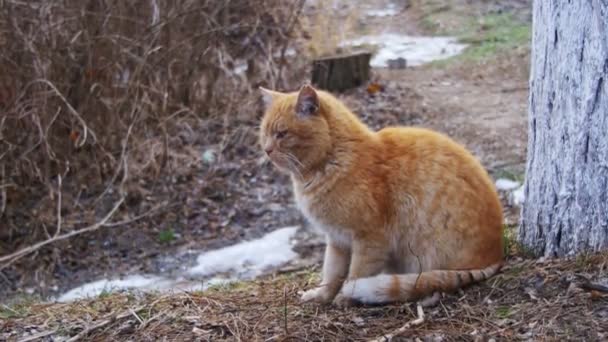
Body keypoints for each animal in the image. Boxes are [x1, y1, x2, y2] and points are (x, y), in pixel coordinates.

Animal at [260, 83, 504, 304]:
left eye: (282, 134)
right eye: (265, 134)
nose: (267, 150)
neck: (331, 161)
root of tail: (495, 256)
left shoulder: (370, 239)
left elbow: (355, 274)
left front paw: (344, 298)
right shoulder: (337, 240)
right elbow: (331, 273)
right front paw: (322, 296)